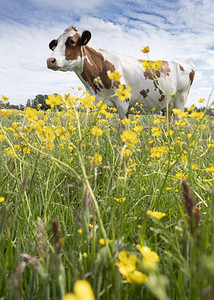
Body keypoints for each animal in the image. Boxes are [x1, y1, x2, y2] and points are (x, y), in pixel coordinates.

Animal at [46, 25, 196, 119]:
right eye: (55, 44)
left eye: (71, 41)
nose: (50, 60)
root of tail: (186, 62)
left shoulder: (123, 103)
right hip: (168, 106)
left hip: (181, 100)